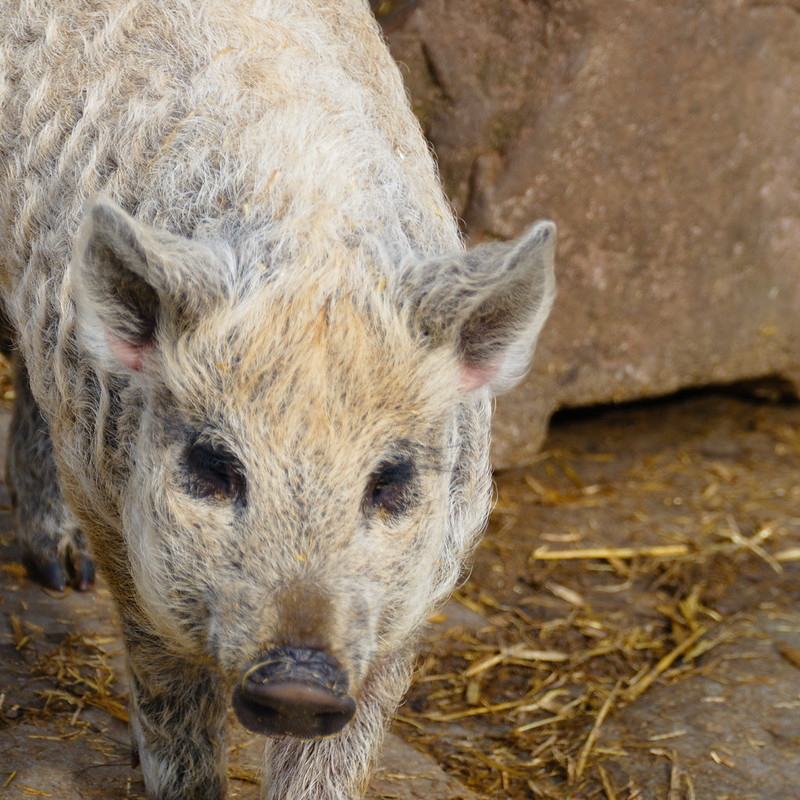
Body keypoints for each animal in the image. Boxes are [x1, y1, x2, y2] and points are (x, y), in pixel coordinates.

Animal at [0, 1, 556, 798]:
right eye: (213, 466)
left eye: (389, 480)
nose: (298, 680)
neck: (312, 255)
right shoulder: (116, 521)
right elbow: (170, 698)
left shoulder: (419, 584)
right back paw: (59, 575)